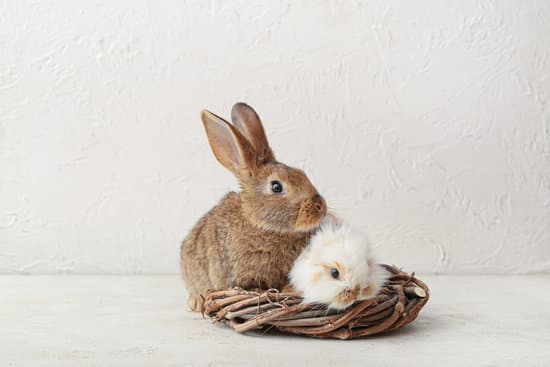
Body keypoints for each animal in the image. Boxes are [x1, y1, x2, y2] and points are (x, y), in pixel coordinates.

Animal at [181, 103, 328, 310]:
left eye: (302, 173)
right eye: (276, 187)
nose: (320, 206)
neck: (260, 223)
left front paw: (290, 289)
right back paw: (196, 302)